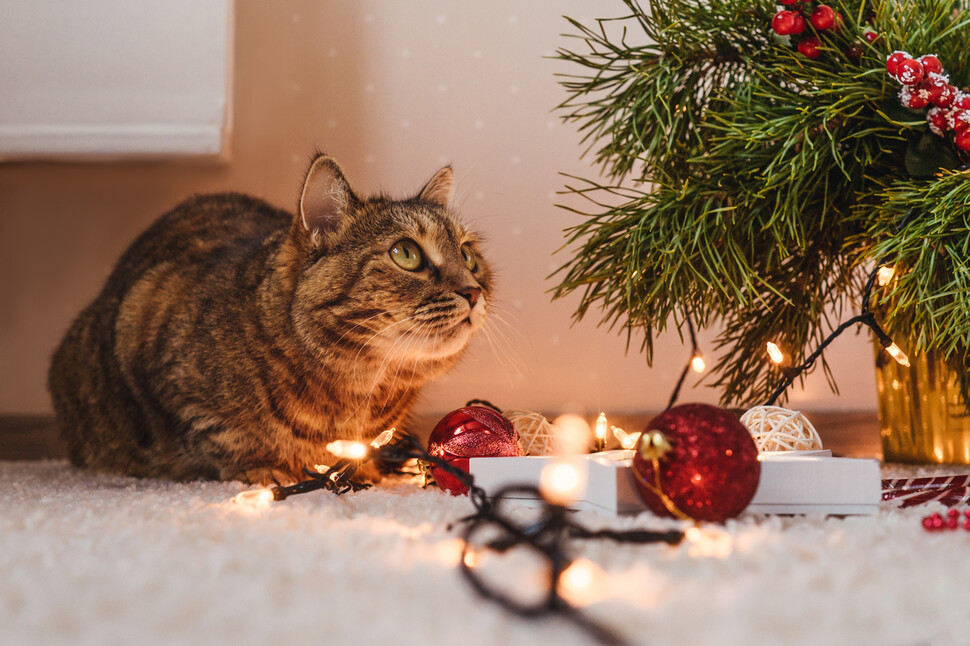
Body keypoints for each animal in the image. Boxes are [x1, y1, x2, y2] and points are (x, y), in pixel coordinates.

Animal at [48, 153, 488, 486]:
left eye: (468, 255)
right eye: (406, 254)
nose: (473, 291)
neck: (360, 388)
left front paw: (362, 468)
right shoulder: (153, 333)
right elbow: (222, 435)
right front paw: (266, 468)